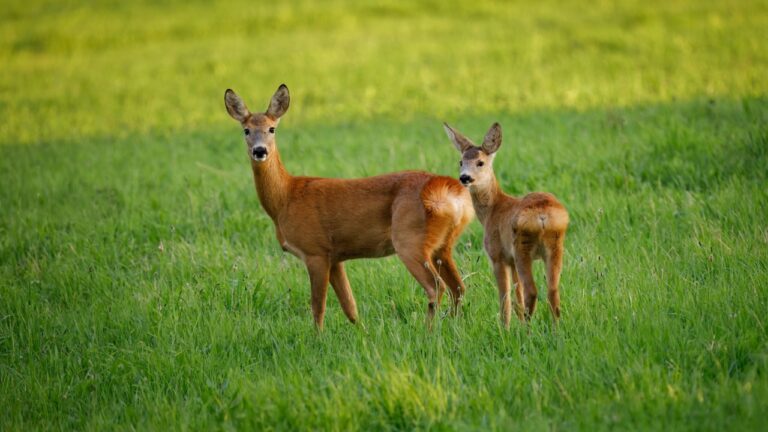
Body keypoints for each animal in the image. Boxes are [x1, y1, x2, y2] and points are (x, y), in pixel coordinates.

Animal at [224, 84, 474, 330]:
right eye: (246, 130)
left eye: (272, 129)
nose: (259, 151)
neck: (285, 197)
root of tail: (448, 189)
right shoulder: (335, 257)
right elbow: (350, 307)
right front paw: (361, 333)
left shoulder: (315, 250)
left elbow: (318, 306)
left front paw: (318, 337)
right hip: (444, 245)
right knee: (458, 287)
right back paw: (453, 327)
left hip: (410, 239)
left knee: (436, 287)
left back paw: (428, 331)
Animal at [443, 122, 569, 327]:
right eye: (460, 162)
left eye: (480, 162)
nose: (465, 178)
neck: (492, 210)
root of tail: (543, 216)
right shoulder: (510, 260)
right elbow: (517, 297)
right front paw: (515, 323)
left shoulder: (498, 255)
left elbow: (505, 298)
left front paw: (505, 327)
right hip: (555, 246)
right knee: (552, 291)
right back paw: (554, 328)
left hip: (522, 248)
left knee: (532, 291)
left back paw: (527, 329)